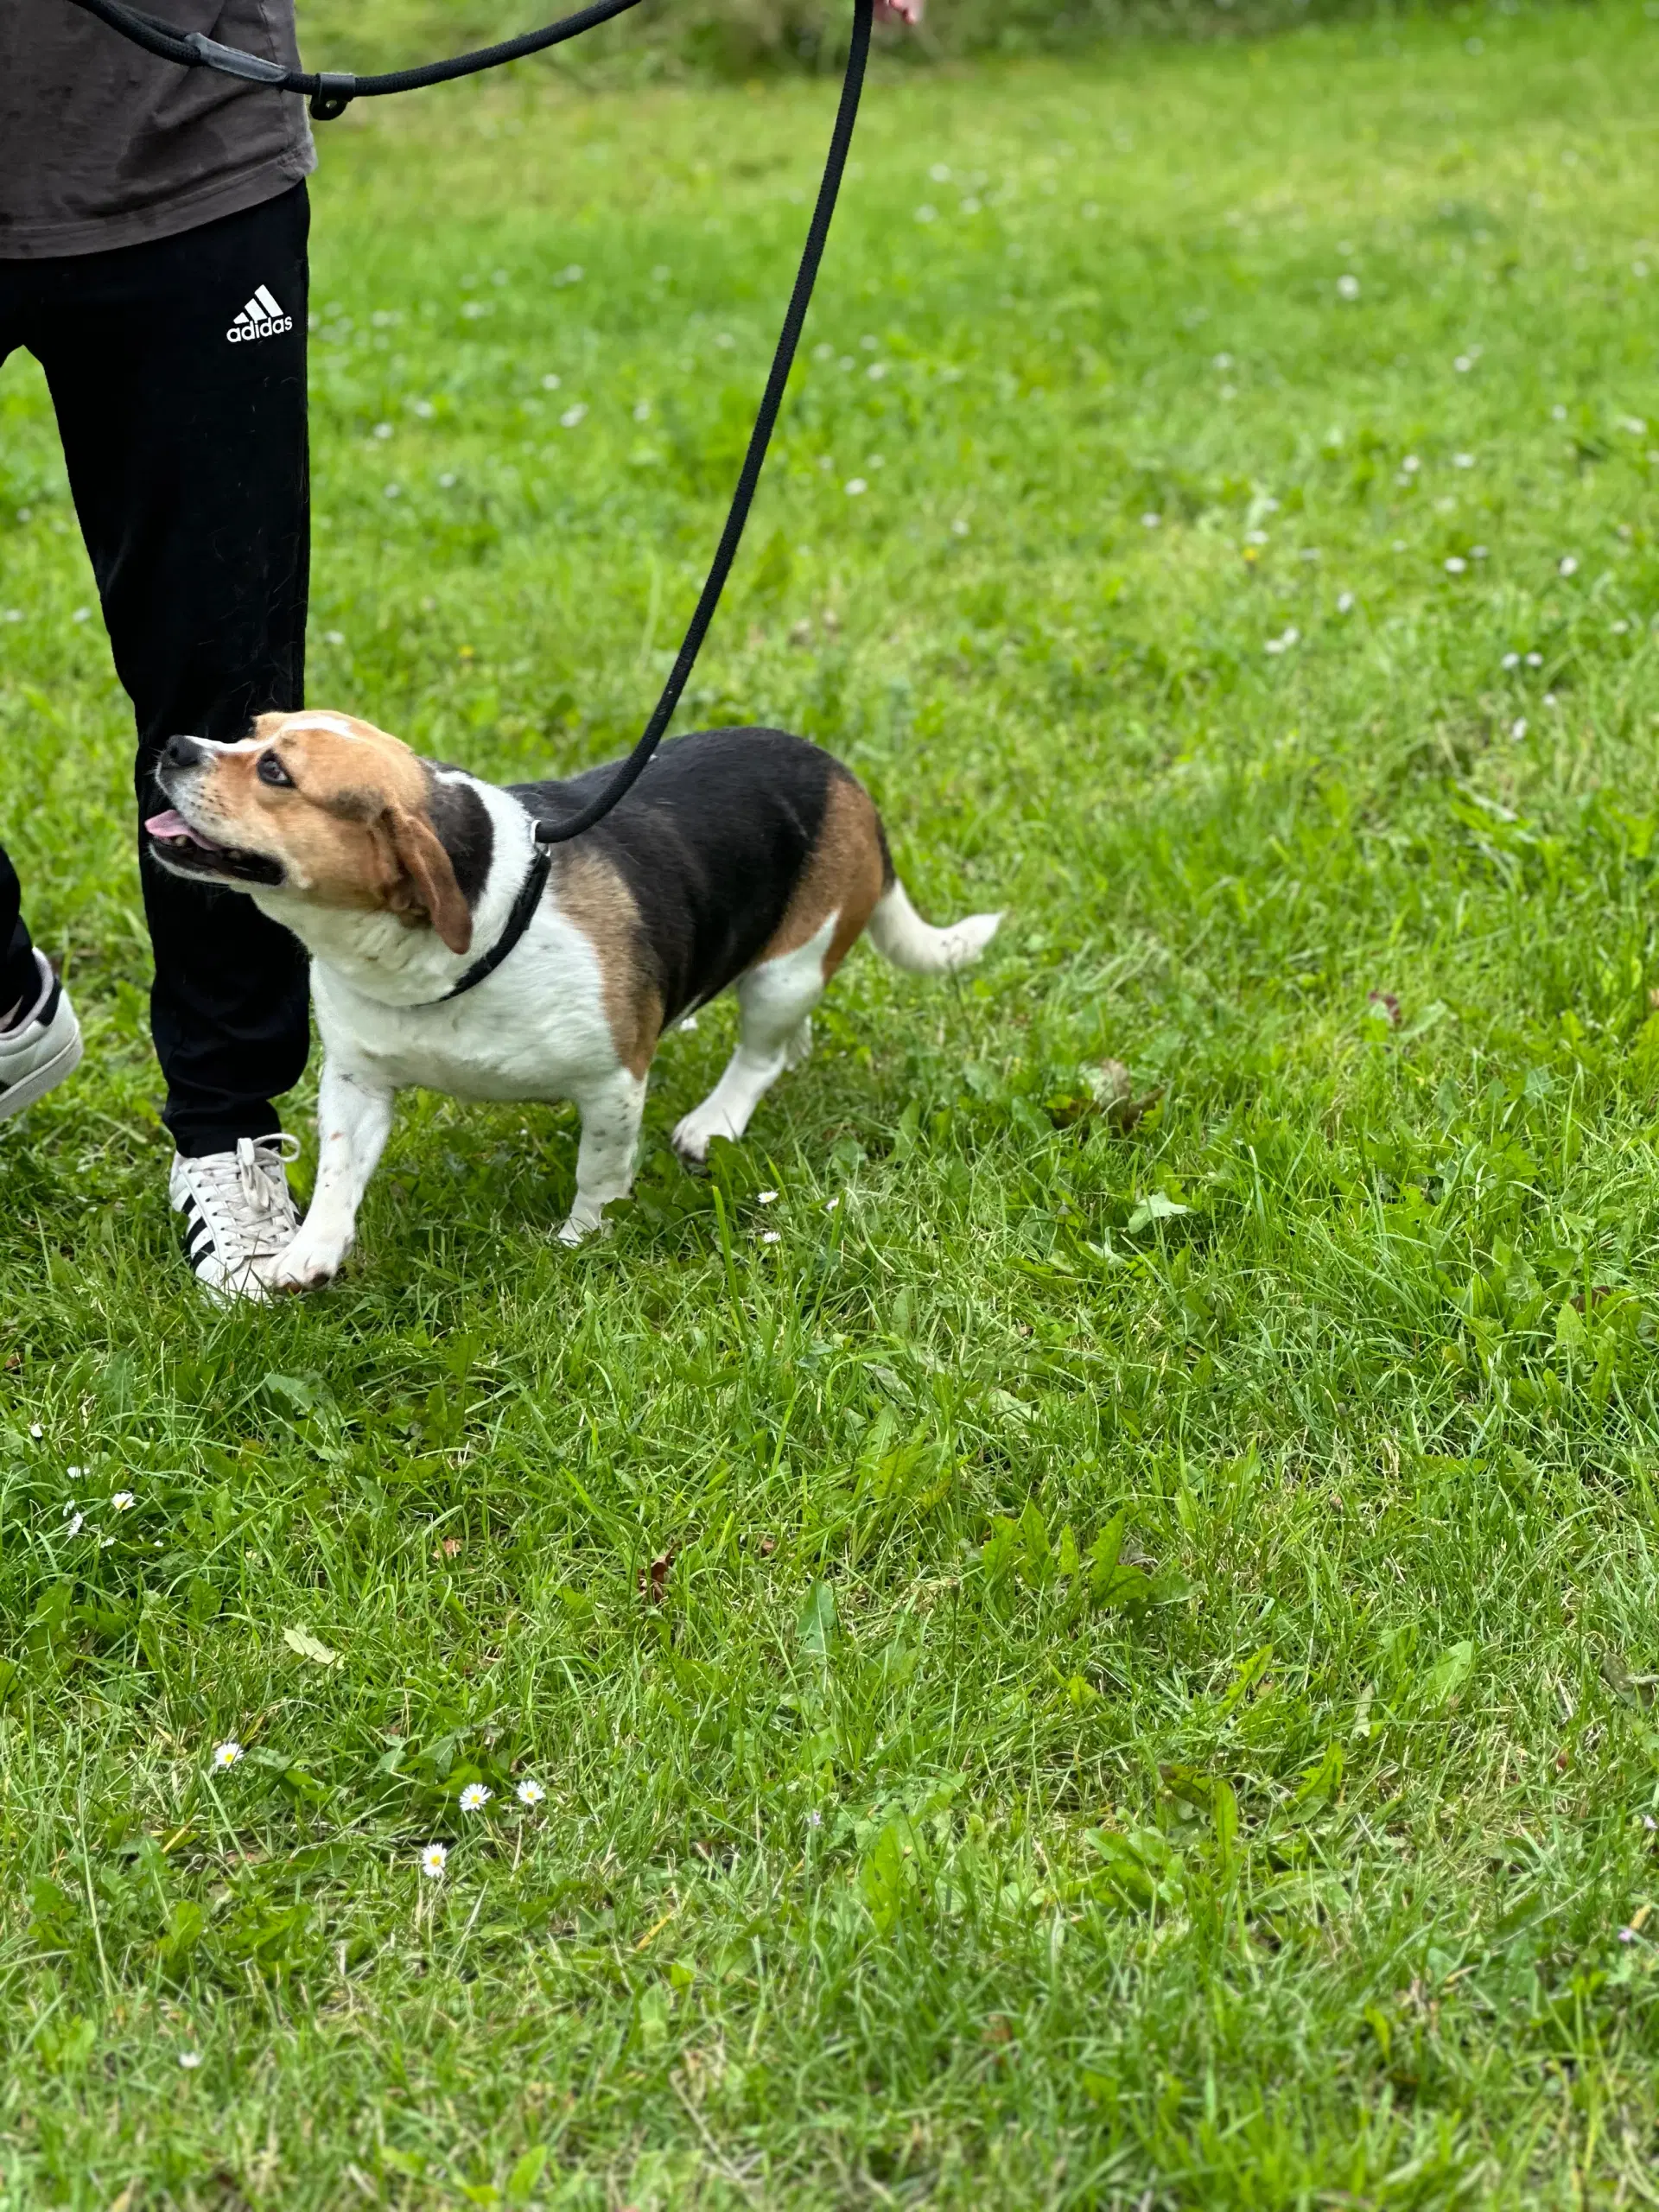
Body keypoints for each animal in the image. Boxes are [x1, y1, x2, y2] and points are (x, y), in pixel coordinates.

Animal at [143, 716, 1000, 1292]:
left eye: (276, 774)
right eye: (251, 731)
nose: (175, 745)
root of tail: (843, 777)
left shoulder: (612, 1084)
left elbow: (600, 1170)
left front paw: (583, 1240)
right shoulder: (357, 1080)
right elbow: (337, 1175)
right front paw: (307, 1254)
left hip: (784, 973)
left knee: (764, 1052)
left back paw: (716, 1120)